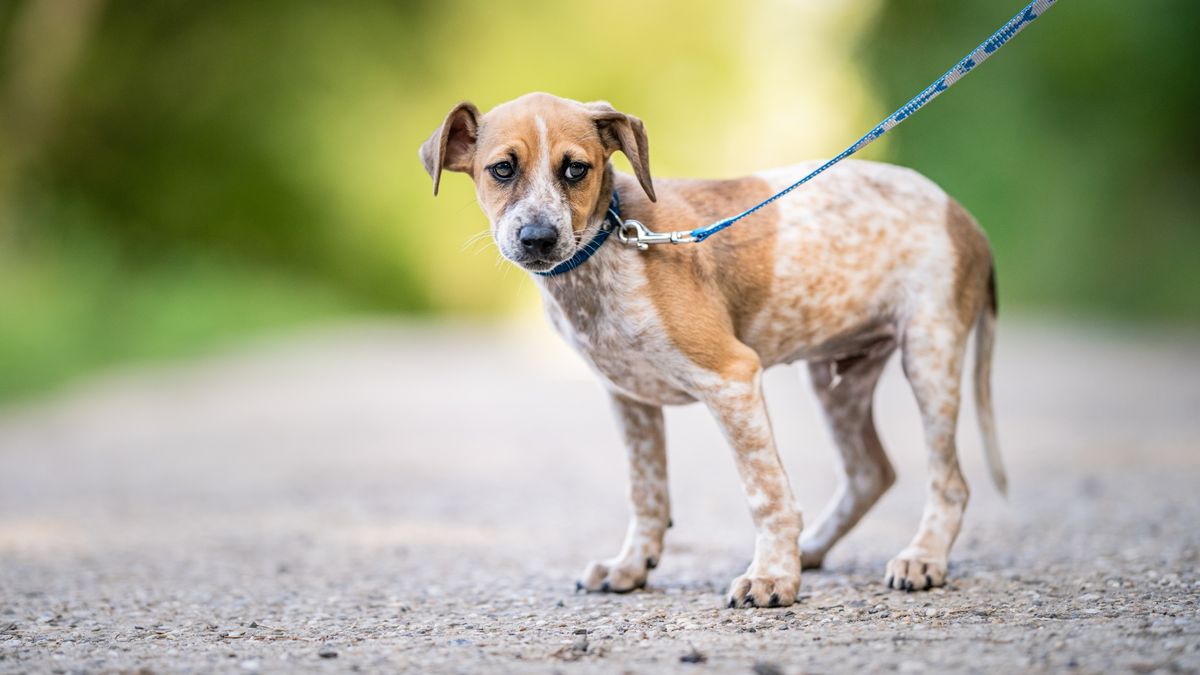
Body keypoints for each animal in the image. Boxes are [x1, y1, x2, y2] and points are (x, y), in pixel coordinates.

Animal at [422, 91, 1003, 607]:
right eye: (502, 169)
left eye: (575, 170)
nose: (538, 238)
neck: (607, 252)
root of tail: (965, 217)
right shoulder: (630, 400)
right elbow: (647, 494)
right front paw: (631, 566)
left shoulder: (731, 378)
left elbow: (767, 495)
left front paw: (772, 577)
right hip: (837, 379)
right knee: (870, 473)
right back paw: (813, 549)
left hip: (929, 356)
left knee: (949, 482)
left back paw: (922, 558)